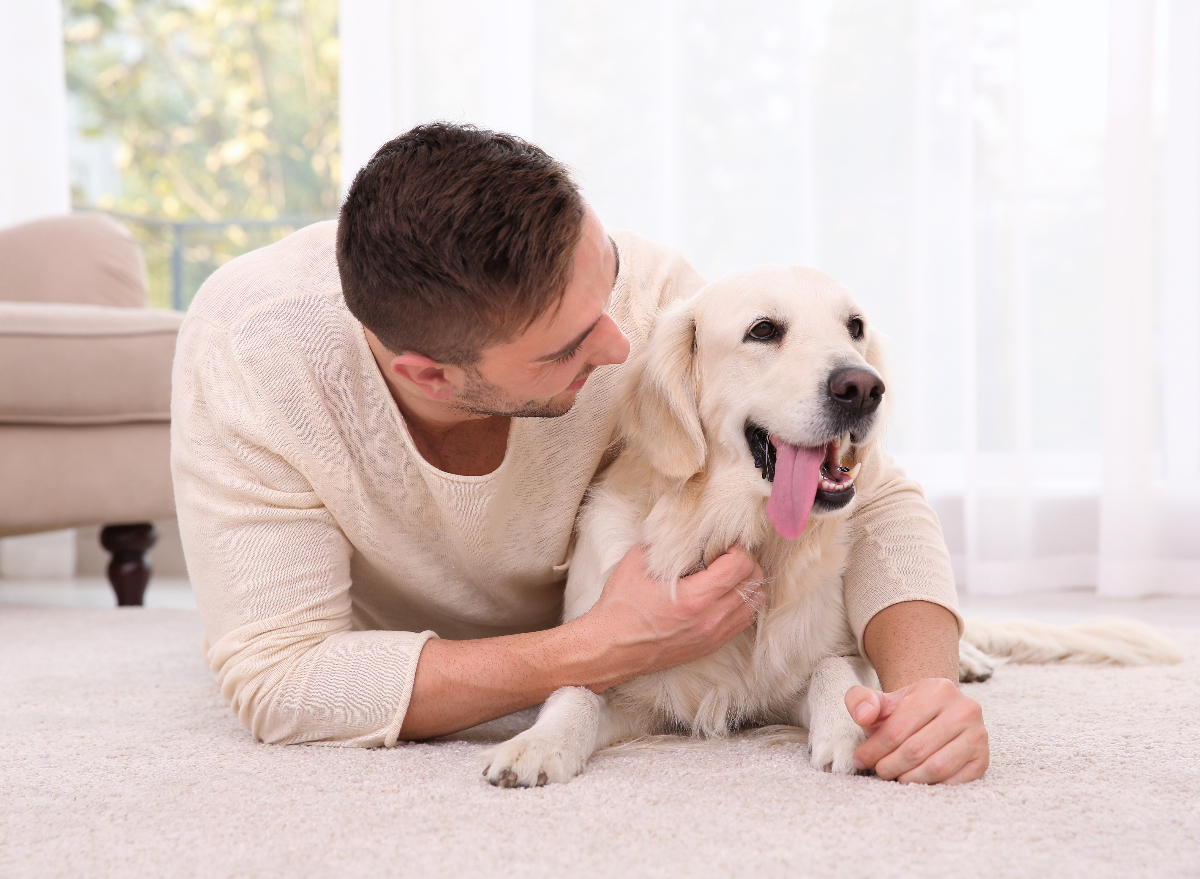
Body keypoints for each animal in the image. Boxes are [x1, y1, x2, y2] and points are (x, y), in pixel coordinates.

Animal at [477, 264, 1180, 787]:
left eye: (855, 327)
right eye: (763, 330)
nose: (864, 387)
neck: (750, 535)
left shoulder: (810, 665)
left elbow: (835, 671)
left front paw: (857, 727)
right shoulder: (633, 675)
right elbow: (574, 689)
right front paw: (535, 745)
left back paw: (969, 658)